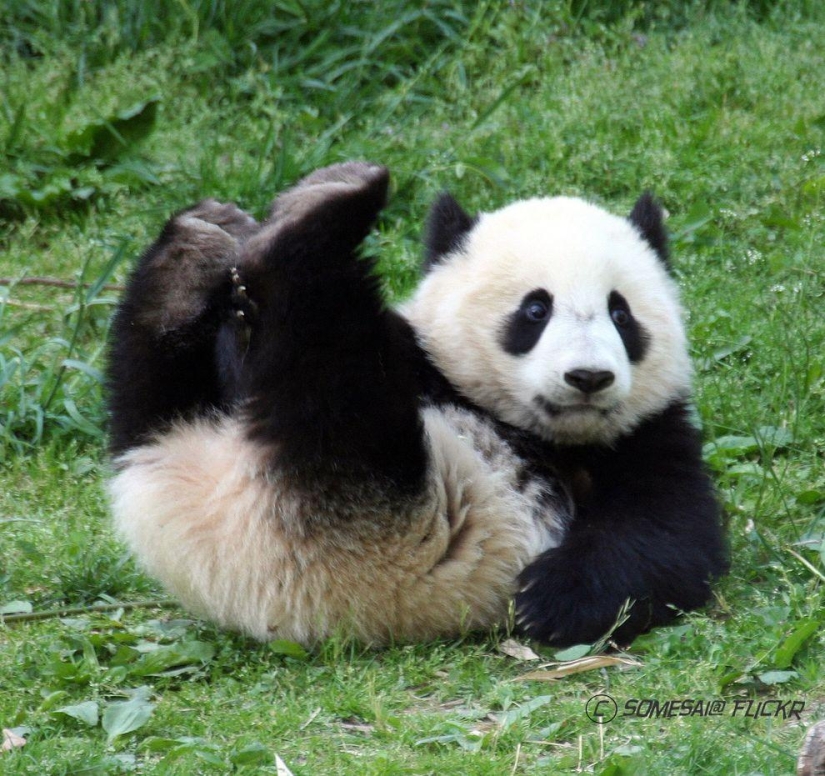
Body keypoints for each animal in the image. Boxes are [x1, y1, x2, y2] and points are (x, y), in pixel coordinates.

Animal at [107, 162, 727, 647]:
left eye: (621, 314)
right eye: (535, 310)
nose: (589, 377)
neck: (534, 431)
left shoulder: (650, 434)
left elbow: (668, 537)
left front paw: (551, 600)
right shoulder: (421, 356)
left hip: (368, 494)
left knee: (323, 378)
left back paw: (300, 224)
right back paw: (206, 249)